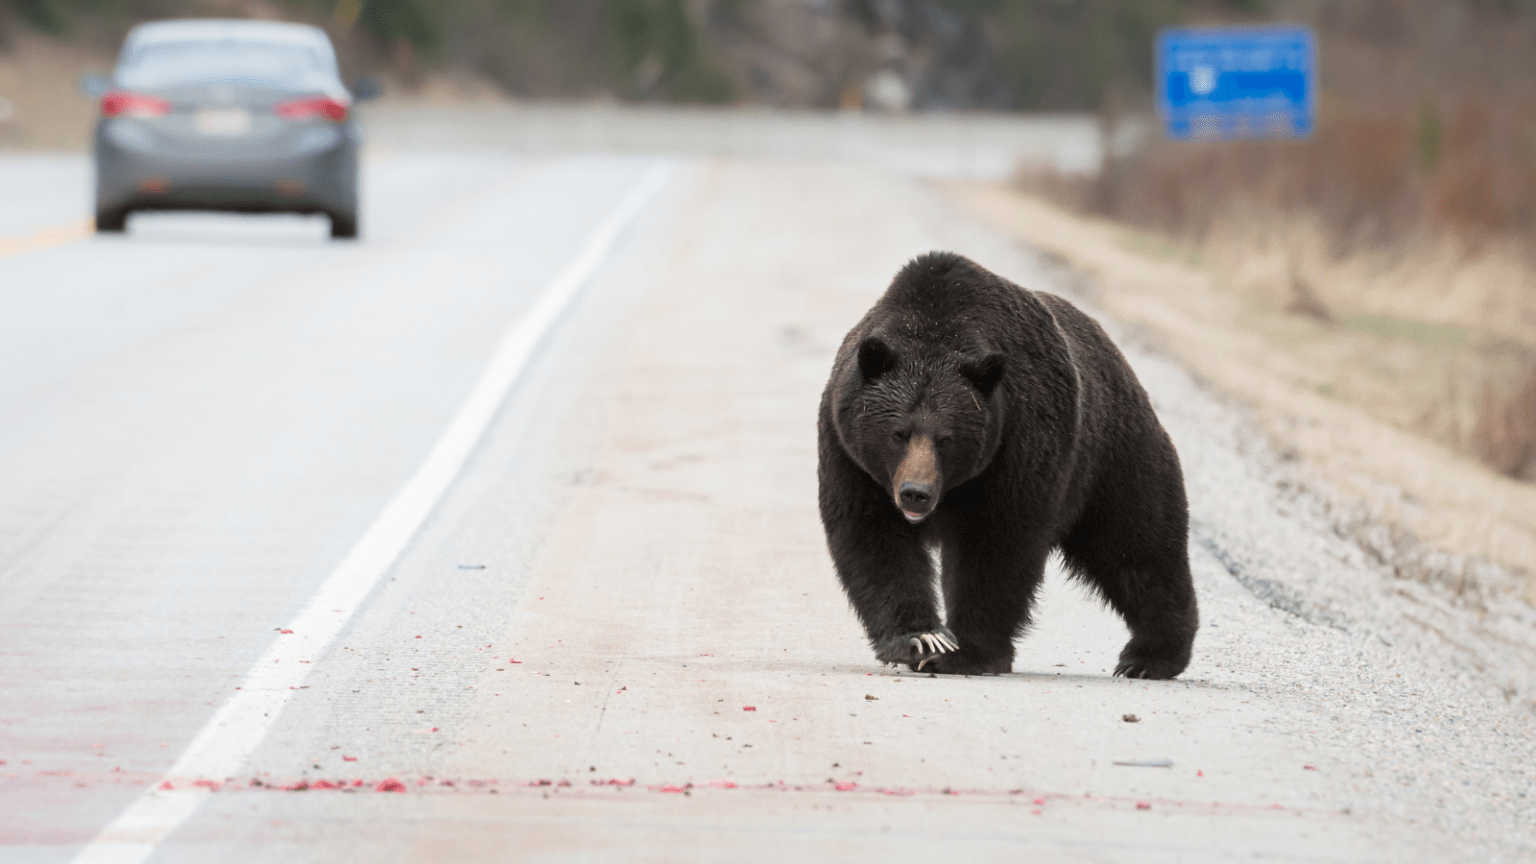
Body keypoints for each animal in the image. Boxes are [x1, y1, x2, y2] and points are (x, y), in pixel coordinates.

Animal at [817, 251, 1198, 679]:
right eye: (899, 433)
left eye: (946, 438)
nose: (916, 493)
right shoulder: (851, 456)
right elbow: (873, 539)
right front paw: (919, 639)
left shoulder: (1015, 446)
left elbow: (998, 544)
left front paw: (967, 652)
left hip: (1112, 459)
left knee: (1136, 545)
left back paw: (1149, 657)